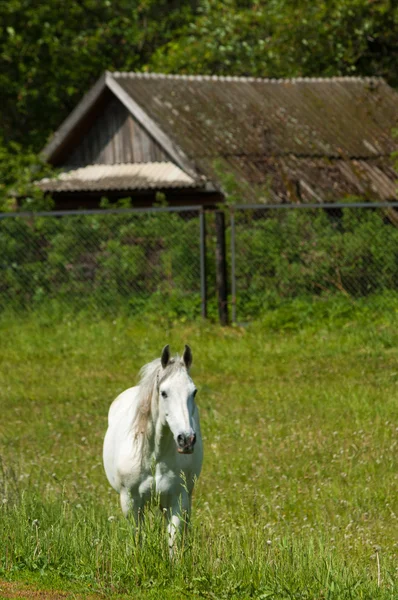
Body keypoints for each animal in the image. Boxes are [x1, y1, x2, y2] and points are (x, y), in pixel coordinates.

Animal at [103, 344, 202, 552]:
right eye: (164, 392)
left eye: (194, 392)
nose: (186, 440)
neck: (154, 455)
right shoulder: (131, 502)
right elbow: (136, 539)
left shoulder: (177, 500)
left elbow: (173, 542)